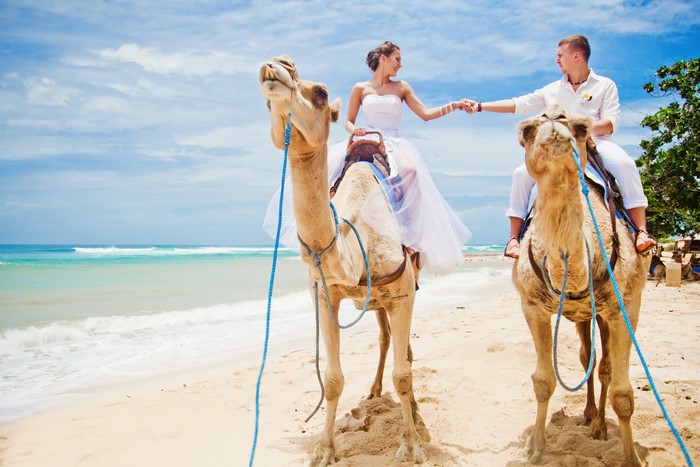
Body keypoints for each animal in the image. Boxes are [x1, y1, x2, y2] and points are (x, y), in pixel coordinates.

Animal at [258, 55, 425, 465]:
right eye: (265, 104)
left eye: (320, 93)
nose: (278, 64)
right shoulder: (323, 295)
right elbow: (332, 381)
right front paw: (323, 448)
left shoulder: (402, 292)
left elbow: (404, 374)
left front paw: (411, 444)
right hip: (377, 300)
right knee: (385, 338)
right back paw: (374, 391)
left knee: (405, 352)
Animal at [512, 106, 649, 466]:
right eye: (527, 129)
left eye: (581, 127)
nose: (554, 119)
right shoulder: (532, 307)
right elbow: (543, 381)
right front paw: (535, 447)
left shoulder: (626, 306)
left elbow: (623, 393)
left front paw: (630, 458)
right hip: (583, 316)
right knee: (589, 355)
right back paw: (588, 416)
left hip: (605, 312)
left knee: (604, 367)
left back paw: (599, 427)